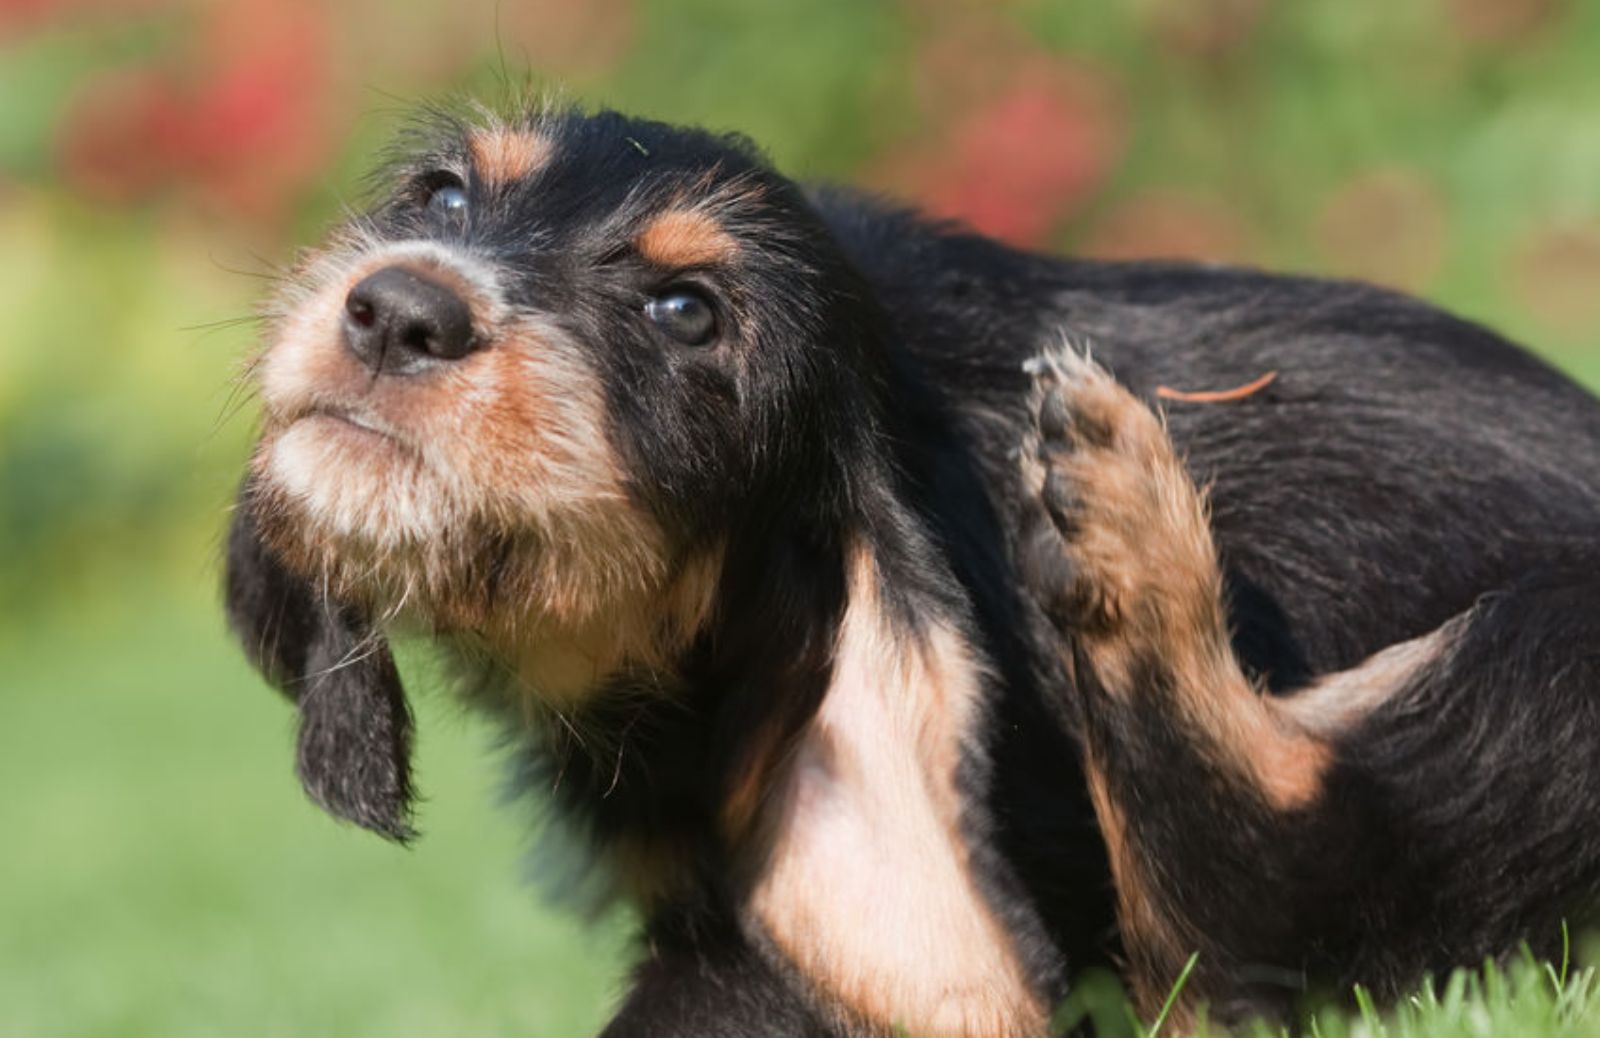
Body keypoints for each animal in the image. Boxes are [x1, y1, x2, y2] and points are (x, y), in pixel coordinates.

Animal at [228, 103, 1600, 1030]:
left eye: (687, 313)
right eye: (444, 199)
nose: (399, 309)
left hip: (1547, 665)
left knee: (1264, 902)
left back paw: (1126, 525)